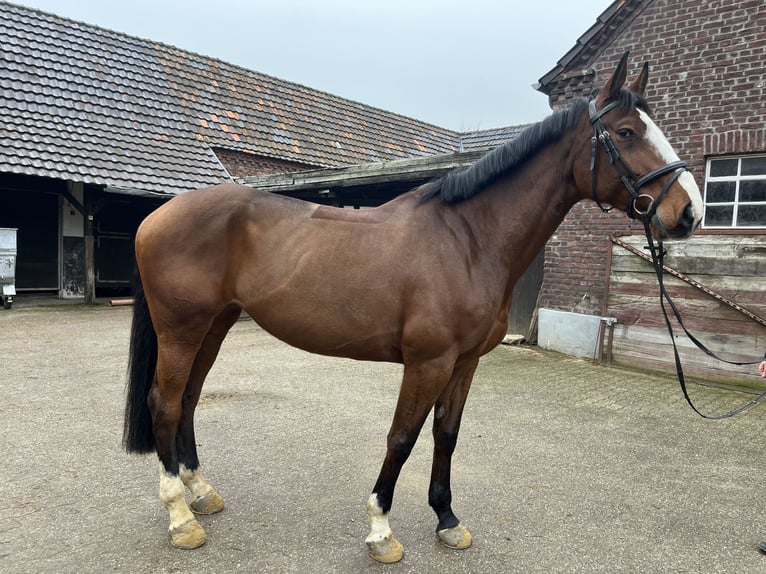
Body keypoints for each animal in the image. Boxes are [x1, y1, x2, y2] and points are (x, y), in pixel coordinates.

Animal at [123, 53, 704, 564]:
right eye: (626, 133)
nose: (689, 212)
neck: (468, 240)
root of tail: (158, 215)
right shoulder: (428, 362)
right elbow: (402, 438)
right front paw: (381, 531)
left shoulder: (465, 363)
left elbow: (446, 435)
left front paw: (447, 520)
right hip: (182, 329)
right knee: (165, 403)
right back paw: (181, 519)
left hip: (215, 325)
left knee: (189, 399)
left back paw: (201, 492)